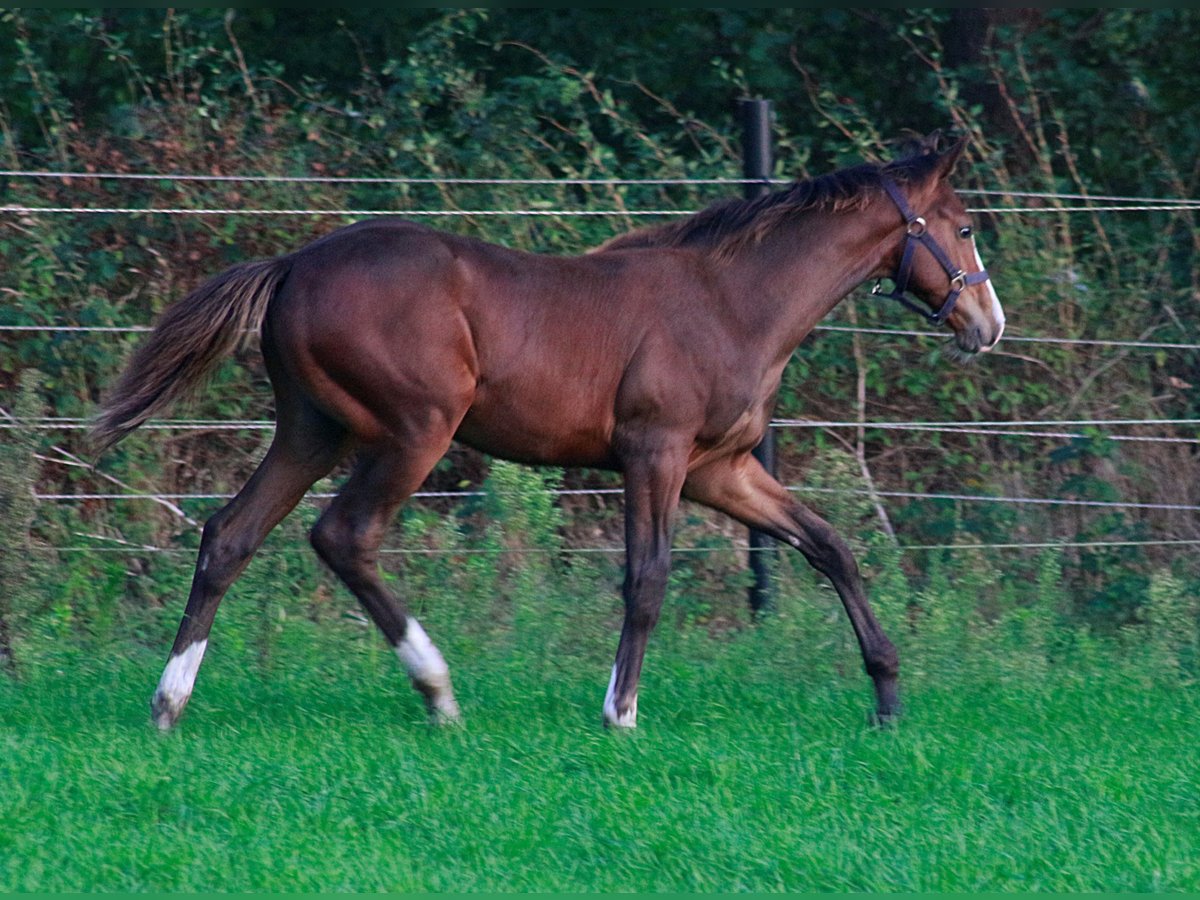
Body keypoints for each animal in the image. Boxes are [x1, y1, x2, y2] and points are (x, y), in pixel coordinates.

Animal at [93, 134, 1003, 731]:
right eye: (962, 228)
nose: (988, 326)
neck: (733, 300)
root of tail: (292, 267)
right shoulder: (654, 453)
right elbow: (647, 579)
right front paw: (620, 713)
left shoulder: (723, 468)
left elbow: (829, 547)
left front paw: (887, 696)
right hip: (414, 431)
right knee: (344, 536)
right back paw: (439, 692)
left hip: (312, 430)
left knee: (230, 535)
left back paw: (169, 705)